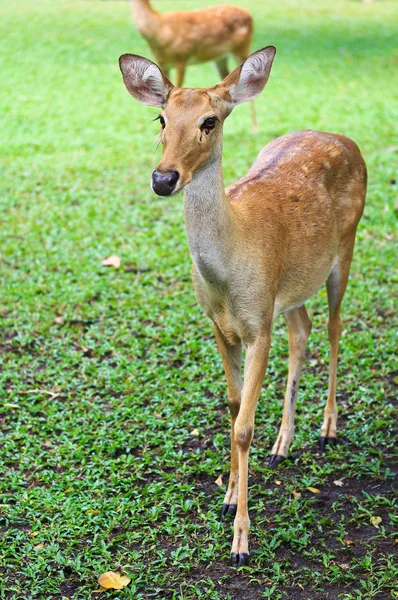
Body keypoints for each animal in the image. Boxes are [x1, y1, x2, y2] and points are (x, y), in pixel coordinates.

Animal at [118, 48, 366, 568]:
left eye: (209, 120)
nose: (163, 177)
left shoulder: (258, 326)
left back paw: (328, 428)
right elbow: (232, 408)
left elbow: (243, 428)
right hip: (291, 286)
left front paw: (241, 542)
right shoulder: (219, 324)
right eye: (161, 117)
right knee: (303, 329)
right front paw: (229, 495)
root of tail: (343, 138)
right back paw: (283, 444)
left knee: (334, 328)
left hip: (345, 247)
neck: (228, 272)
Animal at [128, 0, 258, 131]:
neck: (159, 30)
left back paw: (254, 129)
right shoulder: (163, 64)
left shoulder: (182, 58)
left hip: (242, 47)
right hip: (220, 57)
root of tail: (249, 14)